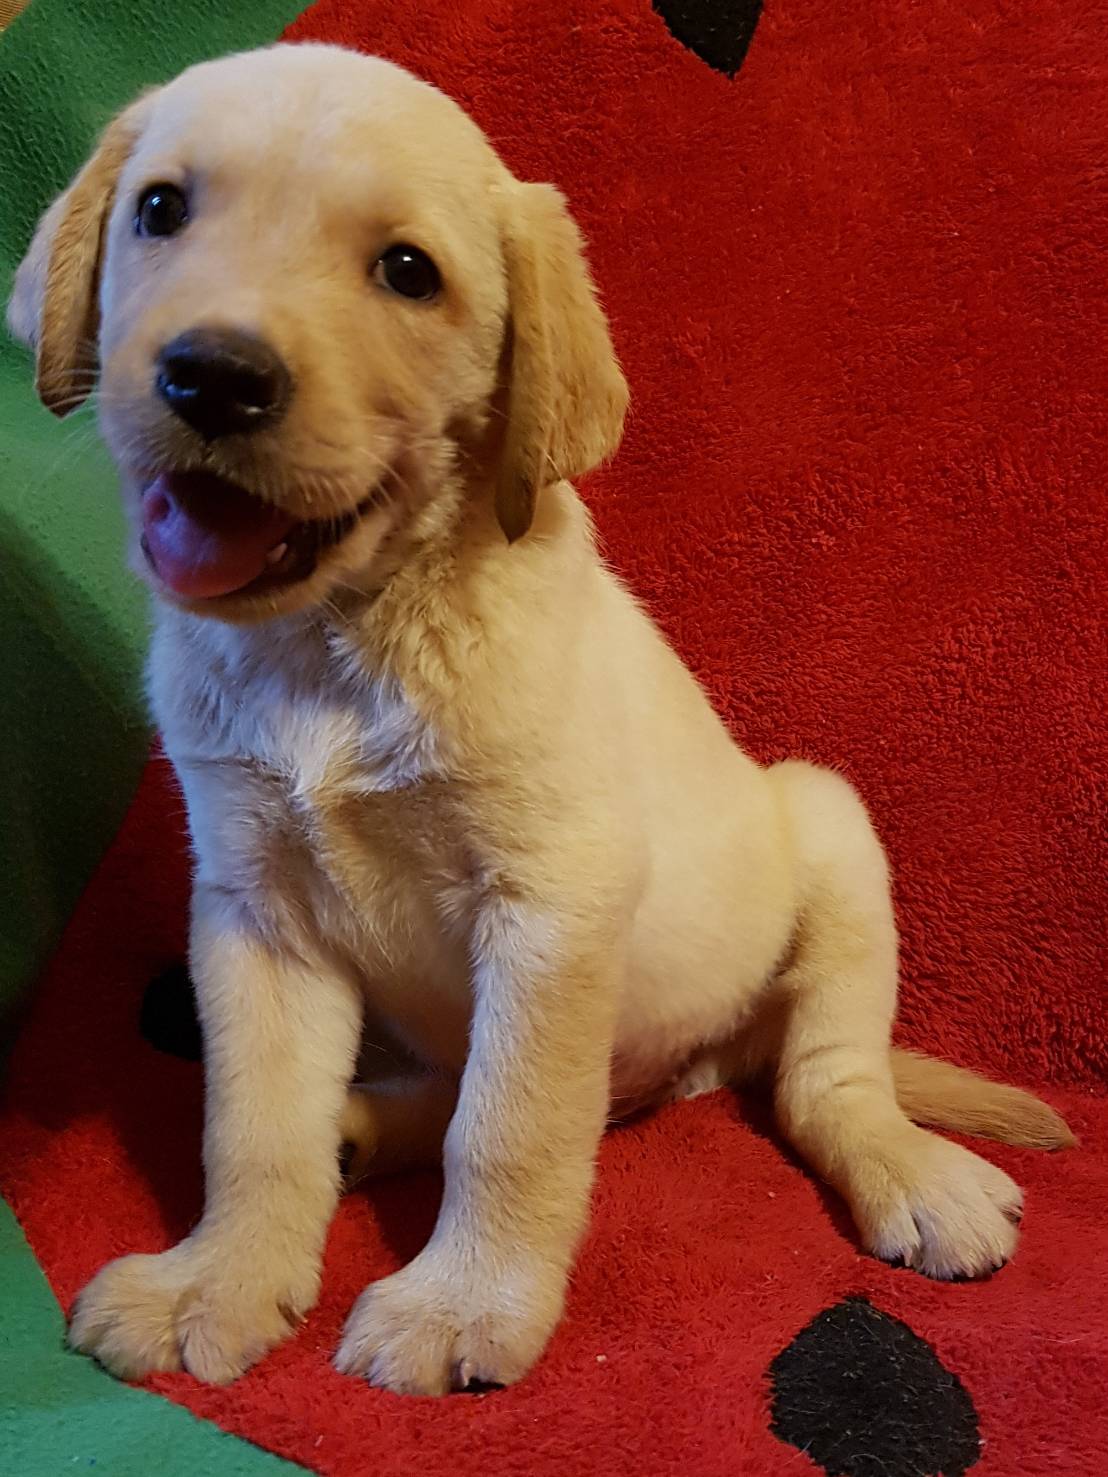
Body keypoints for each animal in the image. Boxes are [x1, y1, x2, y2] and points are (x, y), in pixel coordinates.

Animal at [8, 42, 1073, 1396]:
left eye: (408, 272)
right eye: (160, 209)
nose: (212, 374)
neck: (337, 640)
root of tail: (709, 1064)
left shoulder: (553, 901)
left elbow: (508, 1124)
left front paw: (464, 1302)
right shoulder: (256, 911)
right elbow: (251, 1122)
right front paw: (222, 1275)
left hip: (828, 832)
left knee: (821, 1078)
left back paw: (908, 1169)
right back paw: (361, 1125)